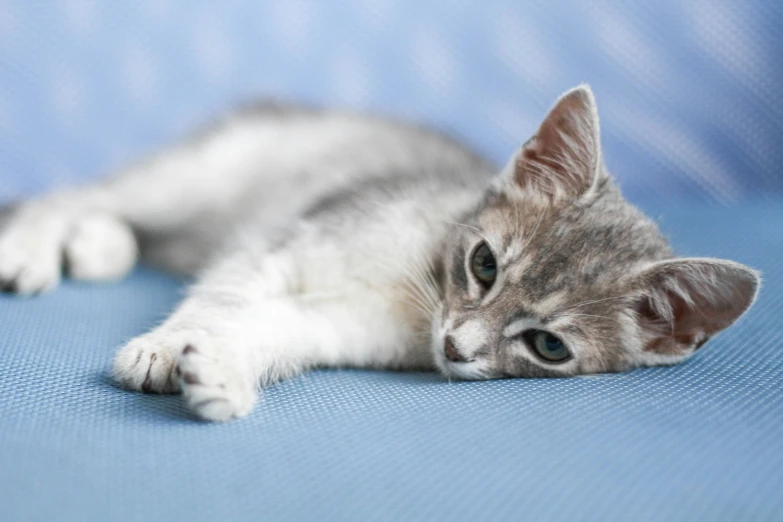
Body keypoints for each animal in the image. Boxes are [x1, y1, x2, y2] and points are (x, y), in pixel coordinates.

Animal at [0, 85, 760, 418]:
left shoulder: (348, 328)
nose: (455, 347)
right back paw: (35, 246)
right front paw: (169, 344)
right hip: (203, 174)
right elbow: (227, 292)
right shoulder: (282, 242)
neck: (418, 283)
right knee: (69, 193)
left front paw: (223, 367)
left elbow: (275, 326)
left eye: (548, 346)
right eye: (484, 264)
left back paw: (99, 245)